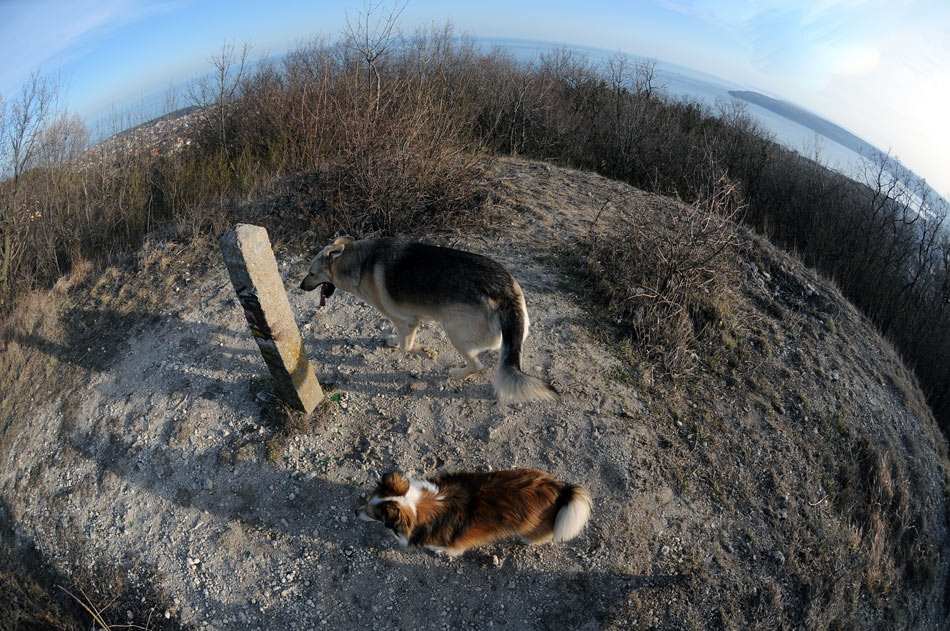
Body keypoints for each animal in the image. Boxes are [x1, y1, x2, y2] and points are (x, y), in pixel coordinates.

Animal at [300, 236, 558, 403]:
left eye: (312, 273)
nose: (300, 287)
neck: (360, 263)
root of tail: (506, 293)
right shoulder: (407, 323)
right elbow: (400, 340)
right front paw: (393, 341)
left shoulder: (408, 321)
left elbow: (407, 346)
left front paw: (425, 351)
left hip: (453, 331)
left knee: (477, 365)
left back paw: (459, 374)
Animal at [356, 469, 592, 556]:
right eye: (367, 502)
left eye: (373, 513)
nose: (356, 512)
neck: (416, 504)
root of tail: (559, 488)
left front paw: (437, 550)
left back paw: (528, 540)